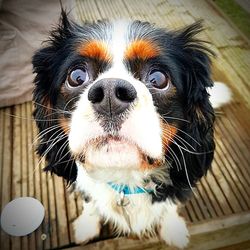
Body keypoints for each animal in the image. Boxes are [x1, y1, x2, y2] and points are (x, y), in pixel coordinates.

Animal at [32, 9, 230, 248]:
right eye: (76, 76)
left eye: (158, 78)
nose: (109, 95)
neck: (124, 177)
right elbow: (90, 203)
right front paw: (87, 226)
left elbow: (170, 207)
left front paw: (174, 229)